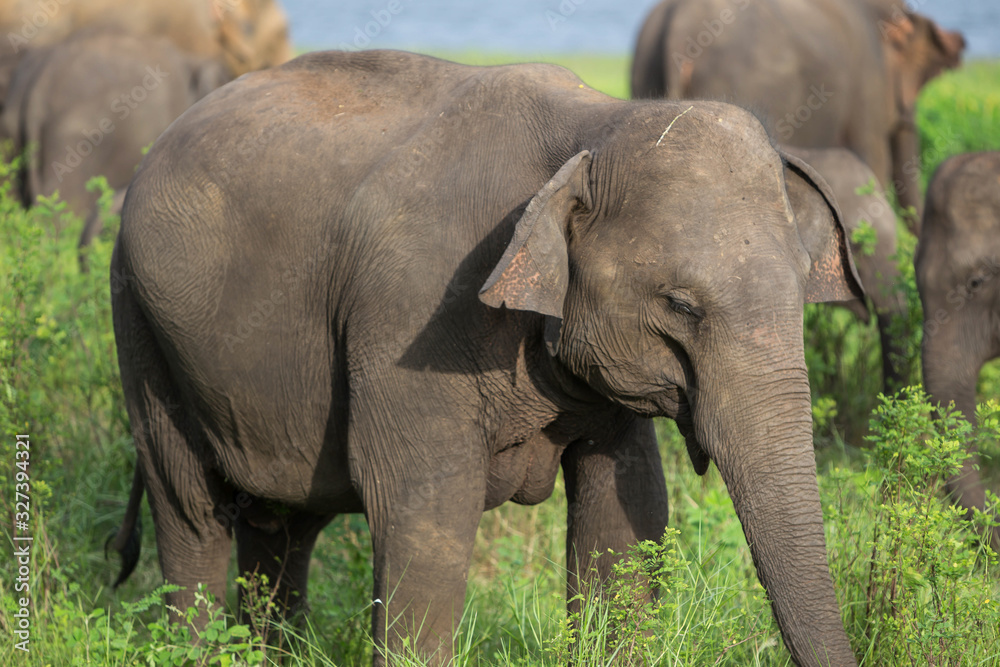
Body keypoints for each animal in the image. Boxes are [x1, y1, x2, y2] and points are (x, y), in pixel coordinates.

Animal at [107, 51, 860, 667]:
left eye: (803, 287)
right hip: (142, 326)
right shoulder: (413, 313)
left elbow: (629, 508)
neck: (594, 126)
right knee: (191, 510)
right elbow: (425, 509)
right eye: (680, 304)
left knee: (280, 527)